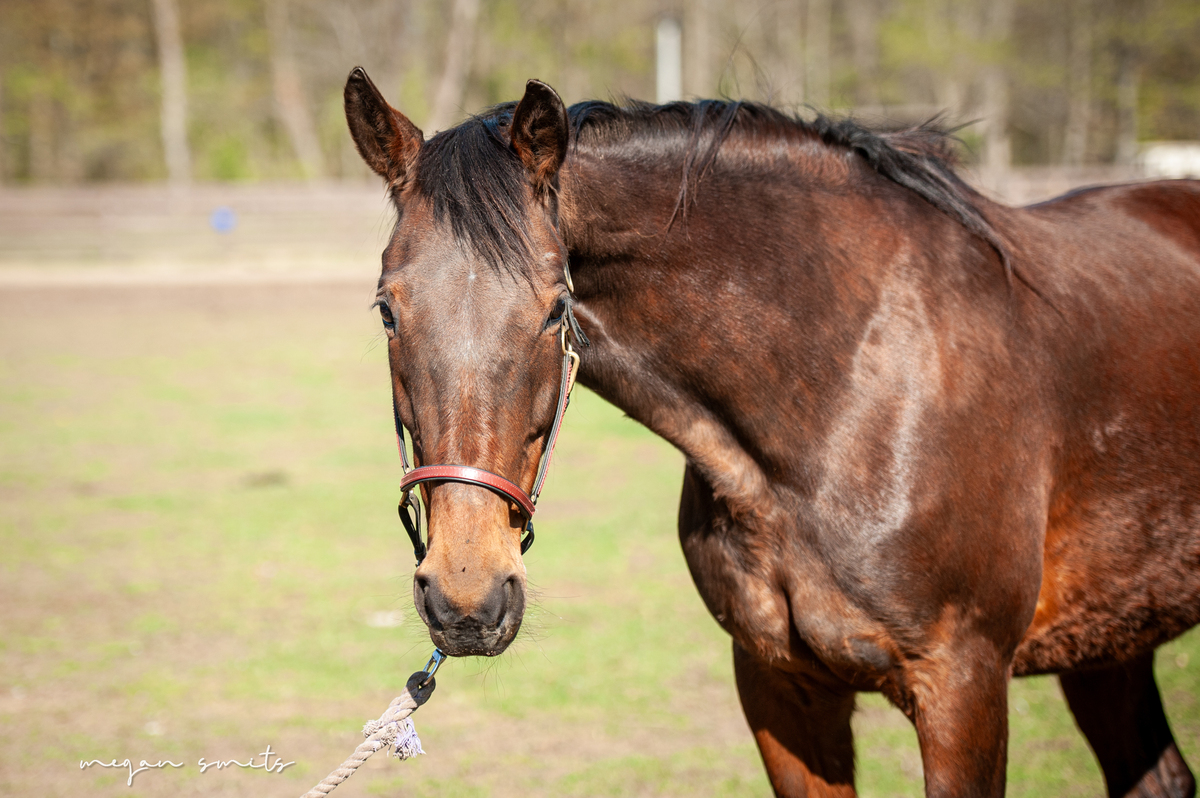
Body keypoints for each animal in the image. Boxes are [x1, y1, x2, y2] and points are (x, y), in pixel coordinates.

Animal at [342, 66, 1200, 797]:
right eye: (386, 310)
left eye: (556, 308)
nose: (466, 596)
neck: (847, 386)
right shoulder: (779, 685)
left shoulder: (964, 685)